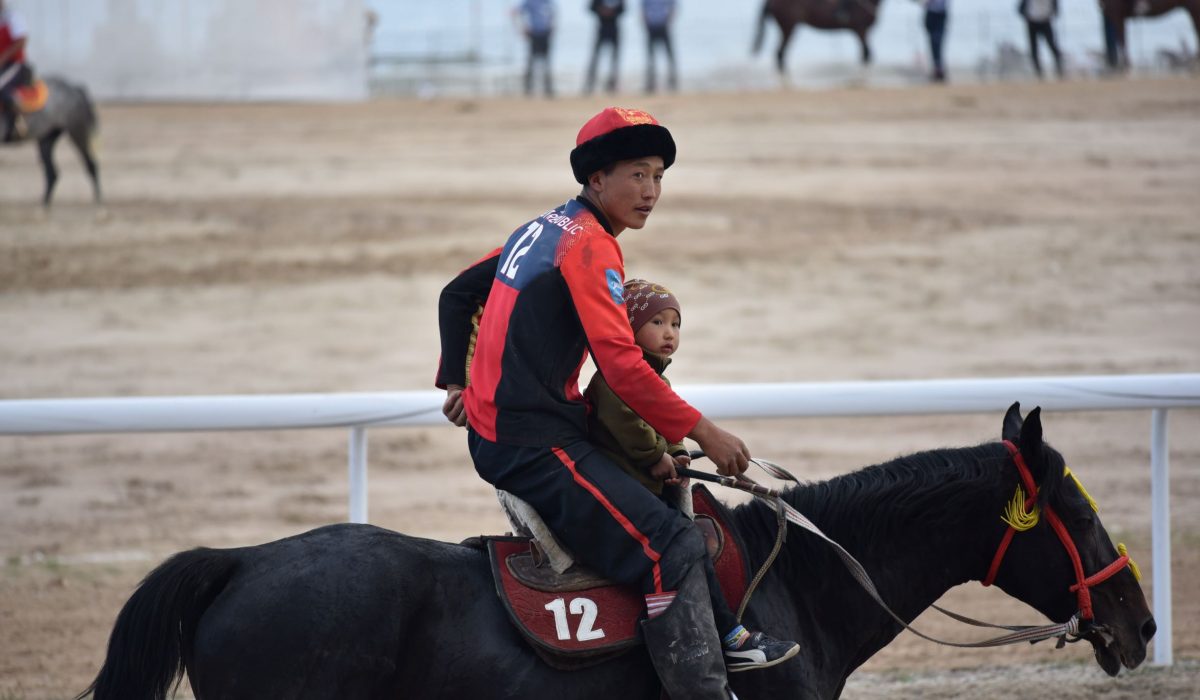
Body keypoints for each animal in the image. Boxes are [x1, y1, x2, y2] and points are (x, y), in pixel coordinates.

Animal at [753, 0, 888, 75]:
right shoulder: (861, 30)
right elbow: (867, 53)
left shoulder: (861, 32)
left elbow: (866, 54)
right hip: (788, 27)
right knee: (780, 53)